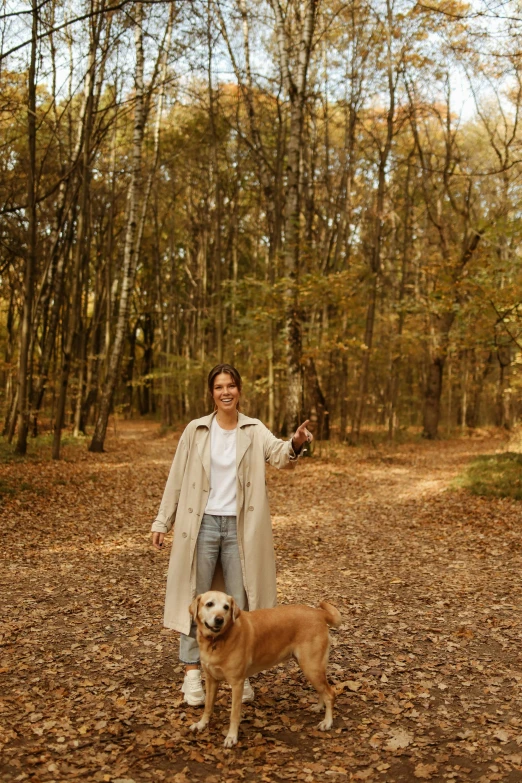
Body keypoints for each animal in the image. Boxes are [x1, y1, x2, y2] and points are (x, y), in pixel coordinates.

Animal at [187, 592, 342, 752]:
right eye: (209, 604)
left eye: (226, 607)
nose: (219, 619)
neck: (216, 641)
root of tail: (318, 613)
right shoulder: (211, 680)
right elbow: (208, 706)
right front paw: (201, 724)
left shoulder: (237, 684)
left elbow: (234, 714)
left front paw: (231, 737)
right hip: (311, 667)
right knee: (323, 690)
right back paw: (319, 707)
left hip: (311, 667)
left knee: (330, 694)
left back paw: (327, 722)